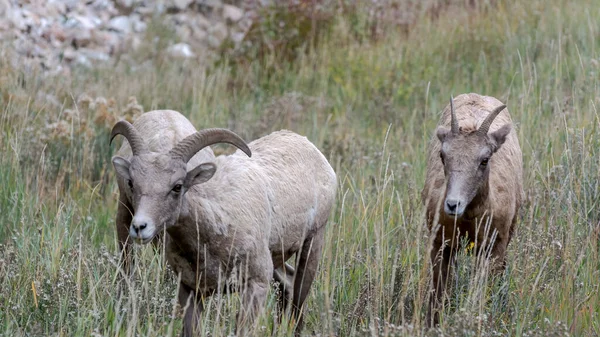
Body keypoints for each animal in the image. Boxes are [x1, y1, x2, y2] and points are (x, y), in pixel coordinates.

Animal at [420, 93, 524, 324]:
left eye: (484, 159)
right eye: (443, 156)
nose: (453, 204)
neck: (468, 221)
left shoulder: (495, 247)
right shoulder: (440, 245)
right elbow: (438, 297)